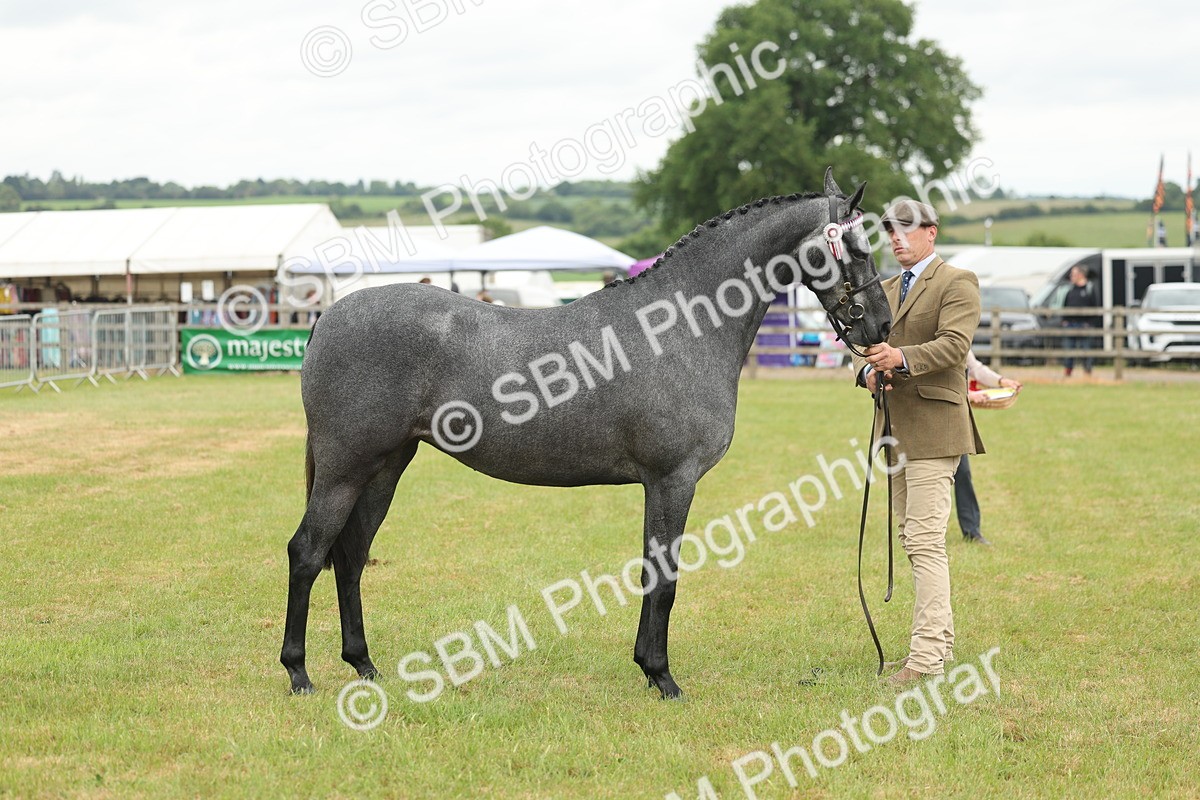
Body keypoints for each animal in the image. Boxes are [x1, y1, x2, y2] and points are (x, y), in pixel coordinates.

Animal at [281, 168, 892, 699]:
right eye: (858, 247)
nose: (881, 324)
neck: (679, 326)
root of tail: (329, 316)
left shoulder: (661, 484)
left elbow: (651, 570)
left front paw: (648, 667)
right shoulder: (674, 479)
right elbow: (665, 577)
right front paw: (663, 677)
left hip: (385, 467)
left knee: (350, 556)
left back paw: (364, 665)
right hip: (344, 469)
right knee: (308, 552)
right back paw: (299, 673)